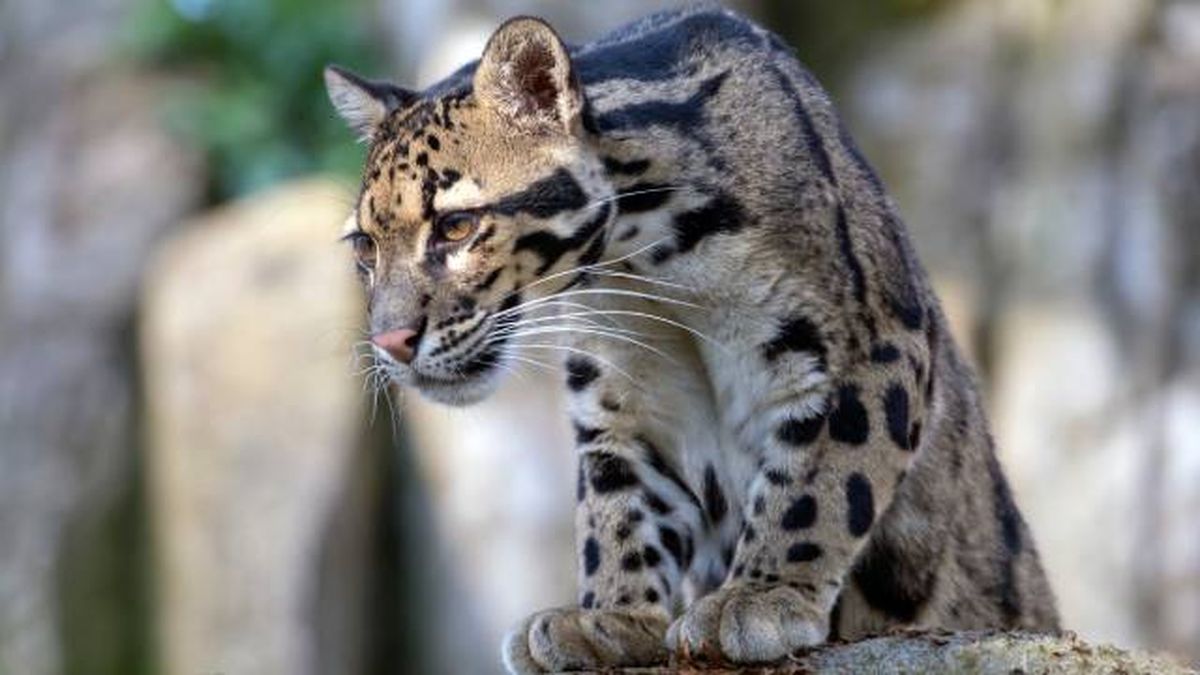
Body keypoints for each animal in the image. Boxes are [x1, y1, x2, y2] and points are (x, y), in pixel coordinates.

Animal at [324, 5, 1060, 672]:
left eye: (456, 226)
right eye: (364, 246)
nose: (391, 340)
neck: (644, 266)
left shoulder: (867, 342)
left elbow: (821, 480)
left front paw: (761, 596)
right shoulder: (619, 399)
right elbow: (615, 508)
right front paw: (610, 616)